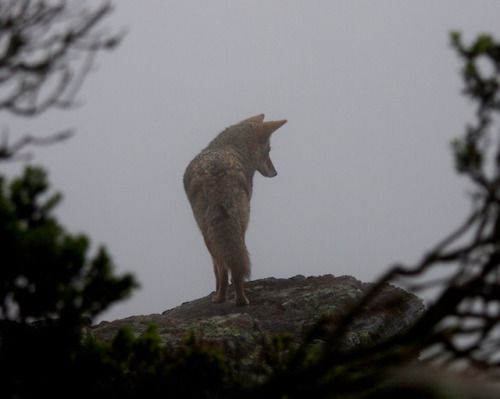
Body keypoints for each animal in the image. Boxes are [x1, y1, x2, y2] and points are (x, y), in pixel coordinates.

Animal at [184, 114, 288, 308]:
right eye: (268, 151)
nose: (276, 173)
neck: (227, 146)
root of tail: (216, 171)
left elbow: (217, 271)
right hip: (235, 228)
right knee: (235, 264)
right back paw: (240, 300)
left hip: (210, 235)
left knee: (224, 267)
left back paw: (222, 298)